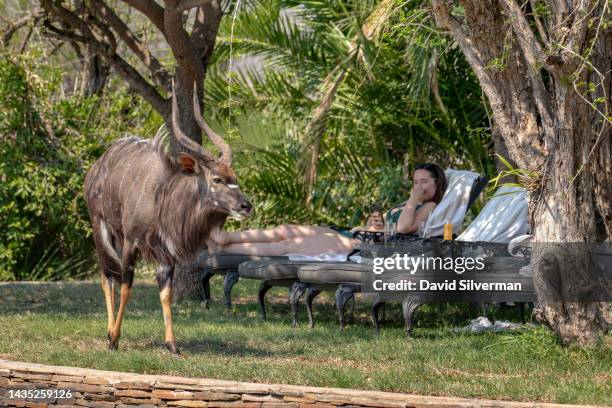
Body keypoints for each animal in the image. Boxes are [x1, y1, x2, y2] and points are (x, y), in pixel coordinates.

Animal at [83, 83, 251, 354]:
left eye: (234, 177)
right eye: (217, 179)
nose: (246, 206)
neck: (163, 195)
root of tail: (96, 167)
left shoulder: (166, 254)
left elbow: (165, 292)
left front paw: (172, 344)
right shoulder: (132, 242)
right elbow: (127, 286)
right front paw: (115, 338)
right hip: (101, 227)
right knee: (106, 275)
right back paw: (109, 332)